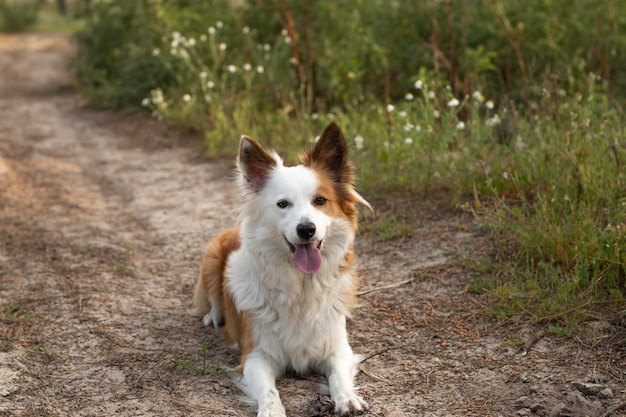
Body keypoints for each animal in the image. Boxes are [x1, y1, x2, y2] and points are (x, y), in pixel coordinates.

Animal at [190, 122, 370, 414]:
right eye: (282, 204)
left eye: (320, 200)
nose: (306, 229)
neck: (301, 285)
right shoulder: (255, 355)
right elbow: (268, 390)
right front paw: (272, 410)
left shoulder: (337, 347)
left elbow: (338, 375)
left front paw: (346, 398)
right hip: (212, 255)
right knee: (213, 299)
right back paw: (213, 317)